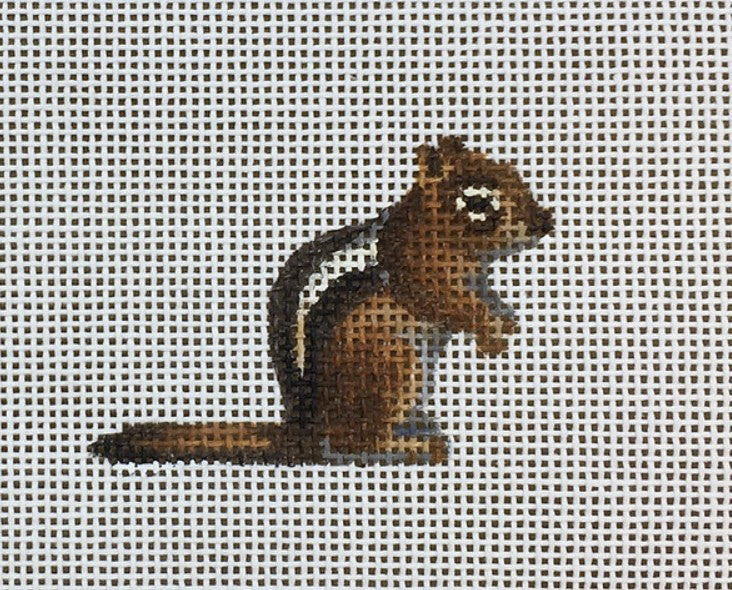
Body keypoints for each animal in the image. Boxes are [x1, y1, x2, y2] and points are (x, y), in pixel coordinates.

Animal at [90, 136, 553, 466]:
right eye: (477, 201)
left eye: (513, 172)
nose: (545, 222)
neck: (430, 226)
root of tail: (307, 433)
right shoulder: (422, 274)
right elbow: (448, 302)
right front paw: (491, 332)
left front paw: (506, 321)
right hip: (394, 365)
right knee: (357, 444)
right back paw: (411, 446)